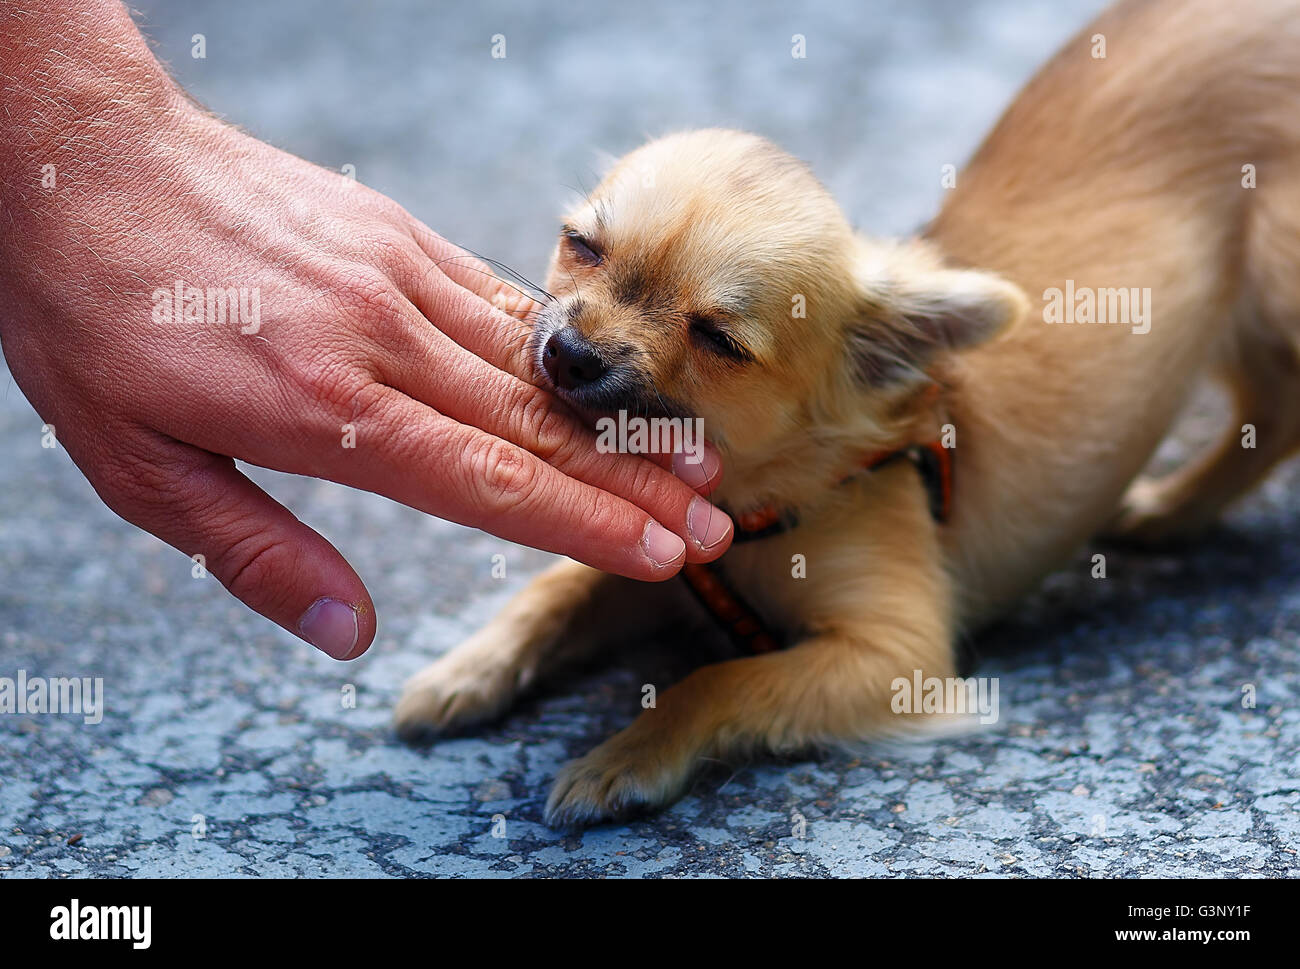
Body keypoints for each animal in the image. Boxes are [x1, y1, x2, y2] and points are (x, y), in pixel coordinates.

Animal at [392, 0, 1300, 822]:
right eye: (580, 245)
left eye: (717, 339)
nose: (569, 353)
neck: (760, 495)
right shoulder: (665, 563)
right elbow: (559, 589)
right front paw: (464, 670)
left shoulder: (895, 656)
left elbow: (717, 678)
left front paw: (626, 754)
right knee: (1268, 415)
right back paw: (1172, 509)